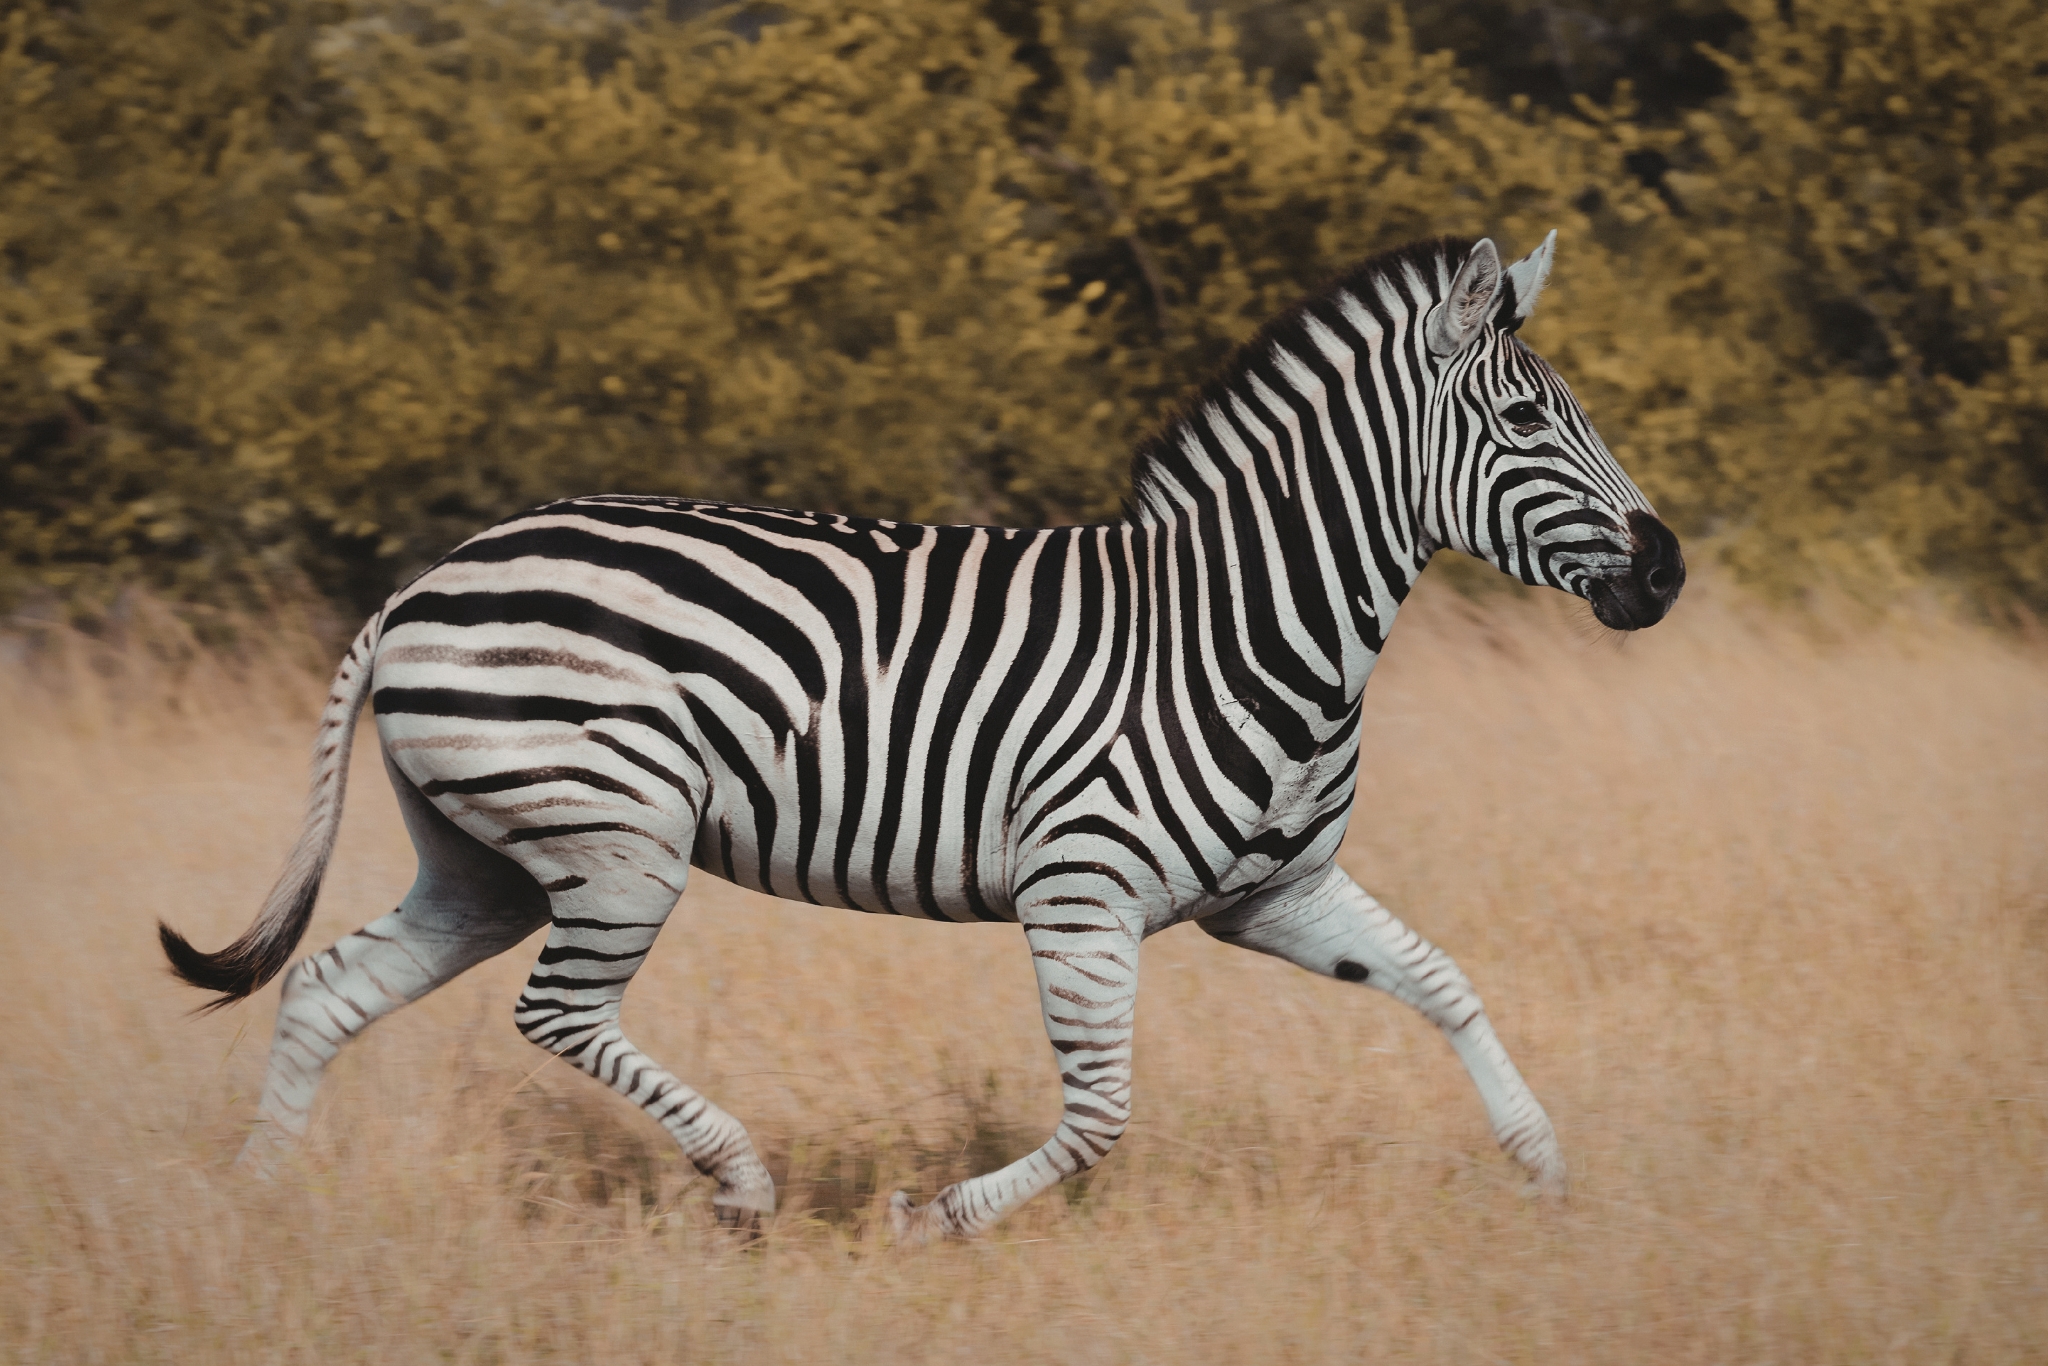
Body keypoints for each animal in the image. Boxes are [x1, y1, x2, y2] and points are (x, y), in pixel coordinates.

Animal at [161, 233, 1683, 1241]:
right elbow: (1100, 1114)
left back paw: (257, 1202)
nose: (1665, 573)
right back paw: (741, 1182)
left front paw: (1543, 1169)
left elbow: (1445, 985)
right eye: (1524, 418)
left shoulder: (1278, 893)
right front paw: (933, 1215)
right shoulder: (1081, 892)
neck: (1239, 623)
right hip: (615, 838)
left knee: (329, 988)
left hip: (489, 856)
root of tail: (425, 580)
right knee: (556, 1010)